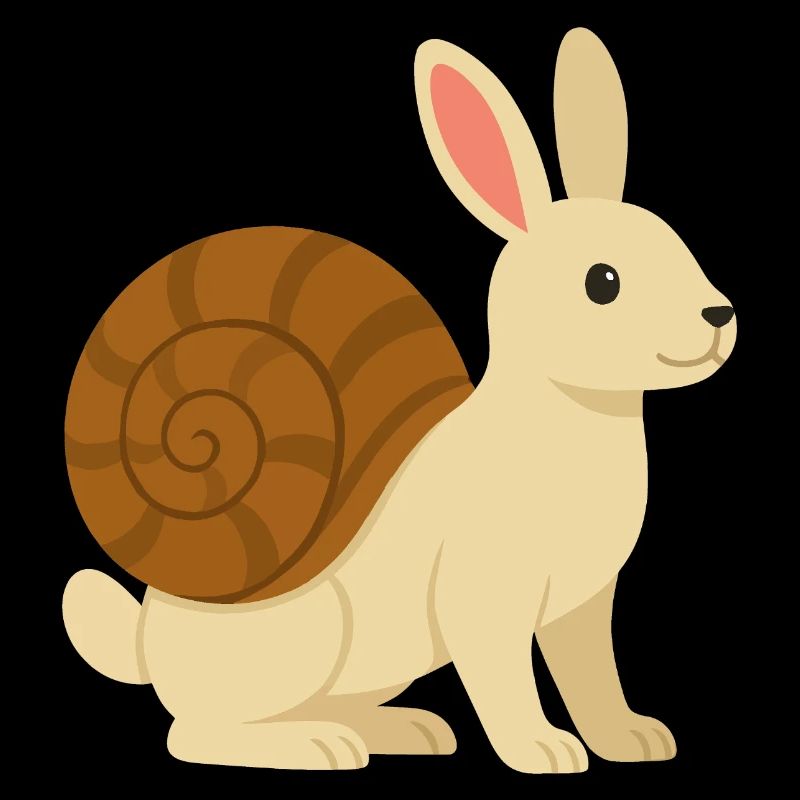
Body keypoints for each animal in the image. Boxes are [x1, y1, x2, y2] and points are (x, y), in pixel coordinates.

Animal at [63, 27, 736, 772]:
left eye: (677, 241)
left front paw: (634, 740)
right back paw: (321, 746)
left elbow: (593, 678)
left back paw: (406, 730)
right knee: (194, 733)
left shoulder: (581, 610)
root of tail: (144, 640)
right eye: (603, 282)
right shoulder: (486, 600)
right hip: (307, 645)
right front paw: (541, 750)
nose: (720, 316)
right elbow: (506, 680)